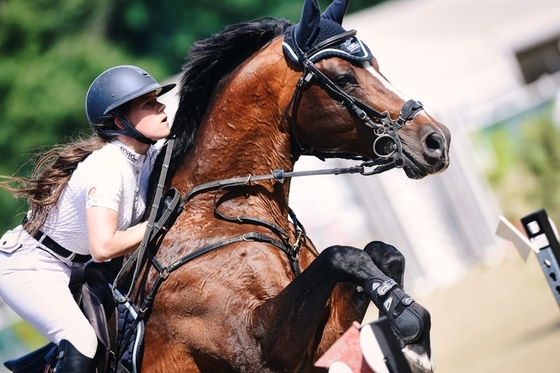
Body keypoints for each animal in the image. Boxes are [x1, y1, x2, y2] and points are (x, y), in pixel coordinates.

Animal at [135, 1, 450, 370]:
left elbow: (382, 252)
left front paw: (410, 338)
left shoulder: (323, 340)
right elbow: (340, 253)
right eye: (344, 79)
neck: (225, 206)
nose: (437, 141)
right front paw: (409, 320)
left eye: (376, 67)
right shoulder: (255, 346)